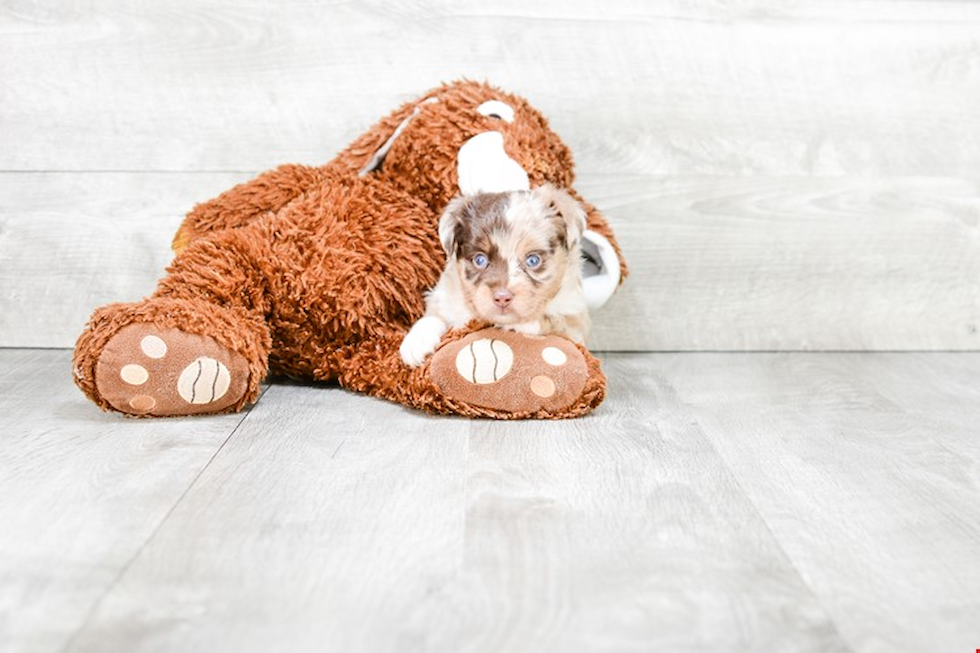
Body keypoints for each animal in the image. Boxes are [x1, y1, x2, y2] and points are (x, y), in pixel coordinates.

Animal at [400, 183, 588, 366]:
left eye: (533, 260)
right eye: (480, 260)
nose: (502, 298)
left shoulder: (575, 324)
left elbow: (553, 321)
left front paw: (523, 322)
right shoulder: (445, 299)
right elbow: (434, 316)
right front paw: (416, 341)